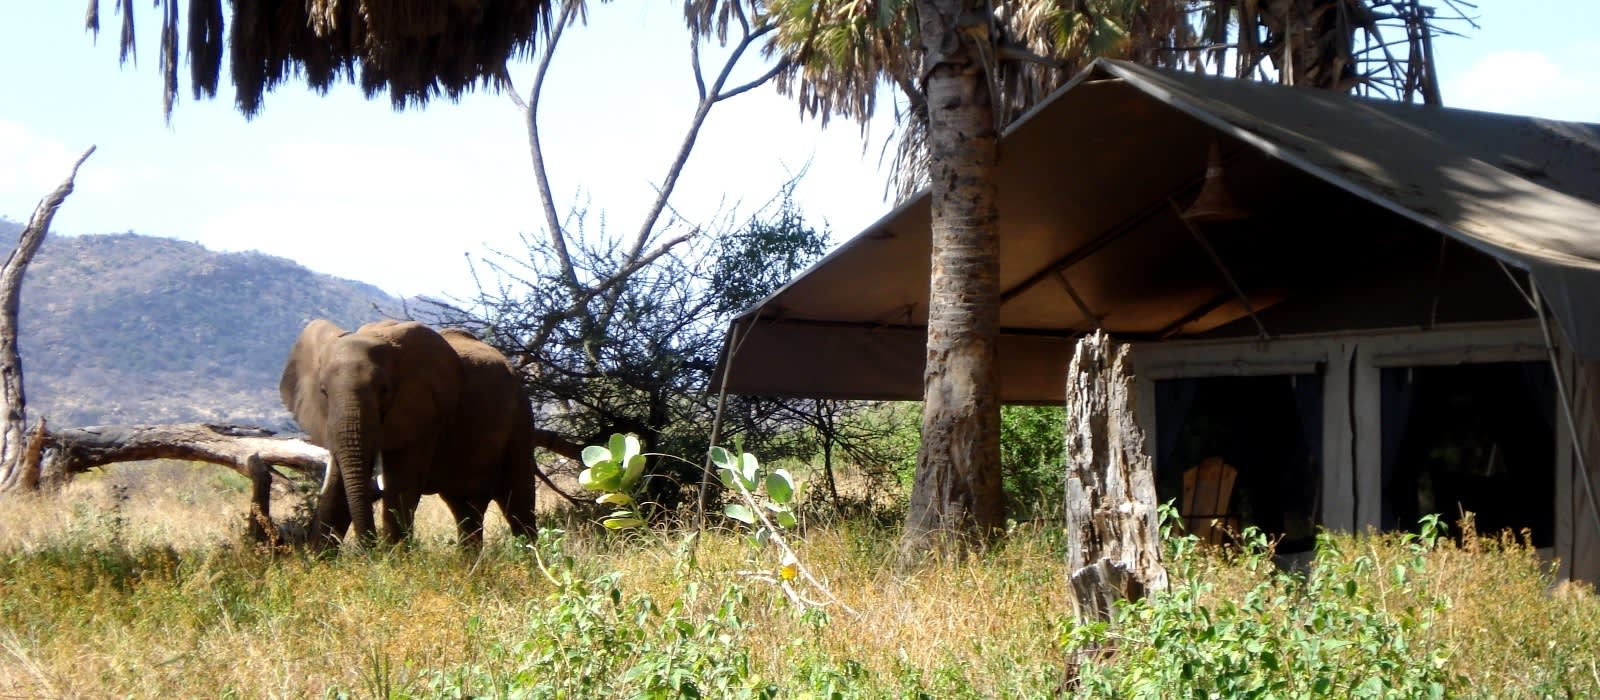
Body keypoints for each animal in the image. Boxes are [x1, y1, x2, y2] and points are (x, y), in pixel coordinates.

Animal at [278, 319, 540, 549]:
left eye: (384, 390)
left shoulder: (424, 415)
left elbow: (401, 485)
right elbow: (336, 487)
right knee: (466, 509)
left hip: (521, 421)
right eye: (323, 391)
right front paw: (320, 560)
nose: (368, 549)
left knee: (518, 503)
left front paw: (392, 563)